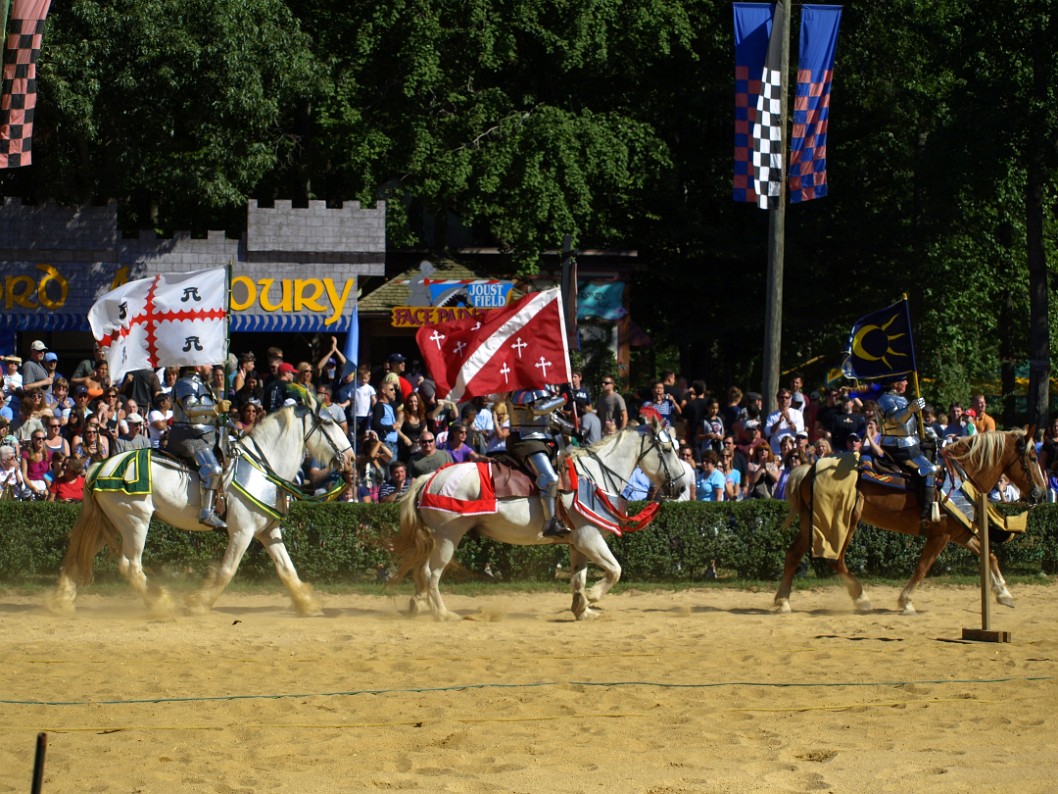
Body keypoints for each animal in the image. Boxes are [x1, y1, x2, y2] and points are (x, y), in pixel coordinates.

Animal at [47, 404, 353, 622]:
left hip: (109, 523)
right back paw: (161, 604)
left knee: (78, 556)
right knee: (130, 565)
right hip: (135, 521)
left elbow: (287, 569)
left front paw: (307, 604)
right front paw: (198, 603)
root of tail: (99, 467)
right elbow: (227, 570)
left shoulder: (268, 532)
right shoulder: (242, 532)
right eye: (328, 422)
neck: (261, 467)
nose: (350, 457)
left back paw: (63, 600)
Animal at [393, 417, 689, 622]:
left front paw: (582, 609)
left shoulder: (578, 544)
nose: (682, 487)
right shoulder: (590, 538)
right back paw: (443, 614)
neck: (595, 476)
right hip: (447, 538)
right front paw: (592, 597)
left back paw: (418, 603)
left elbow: (578, 580)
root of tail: (430, 478)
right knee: (431, 574)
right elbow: (615, 570)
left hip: (437, 539)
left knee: (421, 571)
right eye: (666, 449)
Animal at [774, 431, 1045, 618]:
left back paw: (782, 601)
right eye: (1032, 457)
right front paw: (906, 601)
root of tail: (810, 469)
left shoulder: (960, 533)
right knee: (835, 559)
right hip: (843, 522)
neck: (963, 476)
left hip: (812, 520)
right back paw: (860, 597)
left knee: (793, 554)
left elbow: (989, 555)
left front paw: (1004, 593)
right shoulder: (941, 536)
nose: (1041, 494)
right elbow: (922, 567)